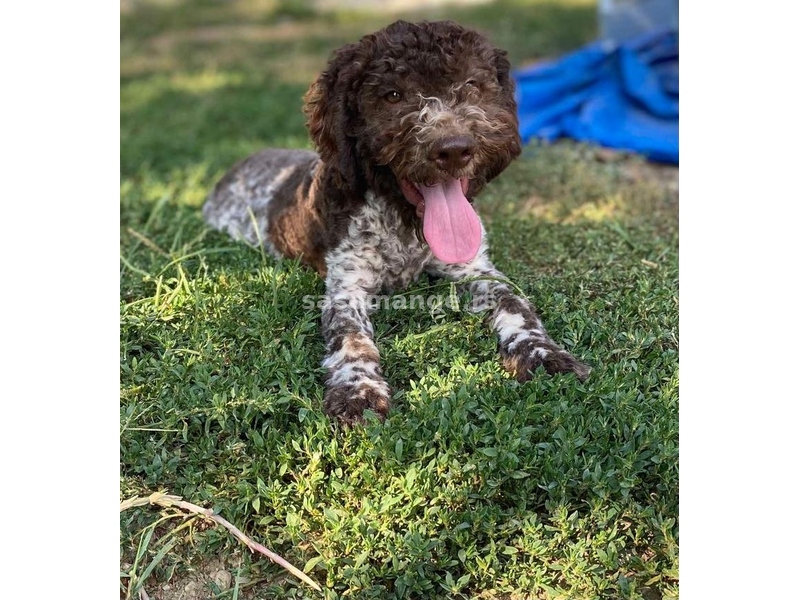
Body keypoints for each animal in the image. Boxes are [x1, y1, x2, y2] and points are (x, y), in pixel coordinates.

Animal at [202, 17, 588, 422]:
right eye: (392, 95)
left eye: (471, 84)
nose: (454, 149)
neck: (404, 225)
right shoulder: (346, 287)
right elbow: (351, 338)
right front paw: (357, 390)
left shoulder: (477, 269)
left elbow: (516, 306)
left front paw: (545, 355)